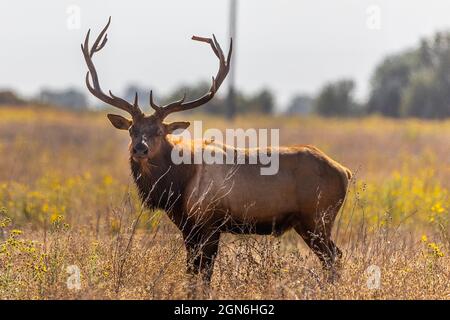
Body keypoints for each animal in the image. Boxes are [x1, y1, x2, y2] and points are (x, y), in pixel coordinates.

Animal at [82, 18, 354, 290]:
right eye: (132, 130)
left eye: (159, 131)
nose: (141, 148)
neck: (178, 186)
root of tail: (345, 172)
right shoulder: (188, 227)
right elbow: (192, 271)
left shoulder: (211, 222)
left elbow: (205, 272)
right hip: (306, 222)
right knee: (333, 256)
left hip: (317, 217)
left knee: (333, 256)